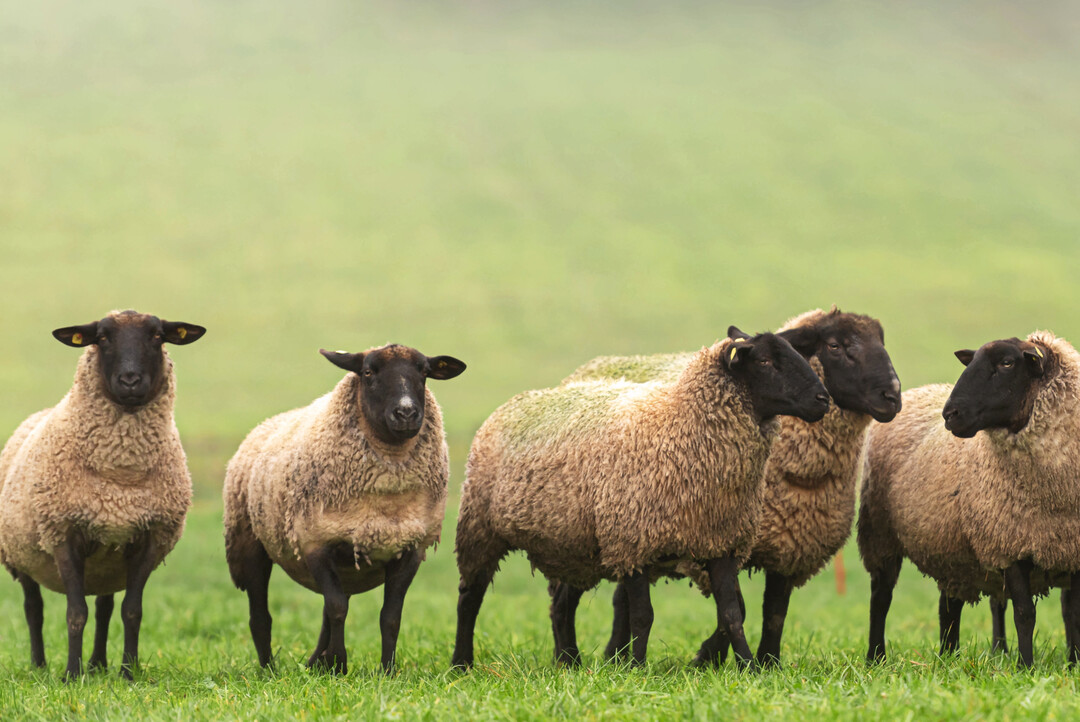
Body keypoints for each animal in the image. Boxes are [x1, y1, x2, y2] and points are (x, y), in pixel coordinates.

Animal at [0, 310, 205, 679]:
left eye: (157, 336)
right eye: (102, 338)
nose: (130, 380)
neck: (120, 478)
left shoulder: (149, 539)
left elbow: (131, 611)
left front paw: (128, 672)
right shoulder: (63, 534)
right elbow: (75, 613)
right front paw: (71, 674)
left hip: (106, 562)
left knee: (104, 606)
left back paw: (98, 665)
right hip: (21, 555)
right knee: (33, 607)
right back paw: (40, 665)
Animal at [223, 344, 466, 674]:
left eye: (425, 372)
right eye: (368, 372)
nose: (406, 413)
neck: (386, 497)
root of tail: (264, 424)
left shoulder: (410, 549)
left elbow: (390, 616)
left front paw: (386, 671)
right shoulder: (315, 542)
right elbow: (337, 608)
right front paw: (339, 664)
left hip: (347, 563)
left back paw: (315, 663)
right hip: (249, 543)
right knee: (261, 616)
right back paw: (270, 670)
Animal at [451, 327, 831, 669]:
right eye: (765, 360)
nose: (823, 400)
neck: (680, 424)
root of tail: (516, 400)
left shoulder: (719, 541)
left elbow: (731, 614)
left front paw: (749, 667)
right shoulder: (632, 541)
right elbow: (642, 616)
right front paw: (636, 668)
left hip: (574, 544)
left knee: (562, 603)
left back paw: (569, 662)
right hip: (479, 527)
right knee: (470, 597)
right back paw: (462, 663)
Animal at [565, 308, 901, 668]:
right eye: (836, 345)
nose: (893, 396)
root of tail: (594, 366)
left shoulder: (786, 546)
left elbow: (774, 613)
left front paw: (767, 661)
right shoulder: (722, 539)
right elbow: (737, 608)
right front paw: (707, 658)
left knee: (621, 599)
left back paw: (614, 654)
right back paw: (572, 657)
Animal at [858, 331, 1080, 668]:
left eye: (1007, 363)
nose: (950, 414)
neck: (1055, 496)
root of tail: (917, 391)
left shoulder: (1070, 549)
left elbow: (1072, 612)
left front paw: (1074, 663)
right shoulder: (1009, 542)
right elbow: (1025, 613)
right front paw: (1025, 667)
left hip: (950, 548)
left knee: (949, 605)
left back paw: (949, 655)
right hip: (881, 535)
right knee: (880, 599)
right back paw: (876, 658)